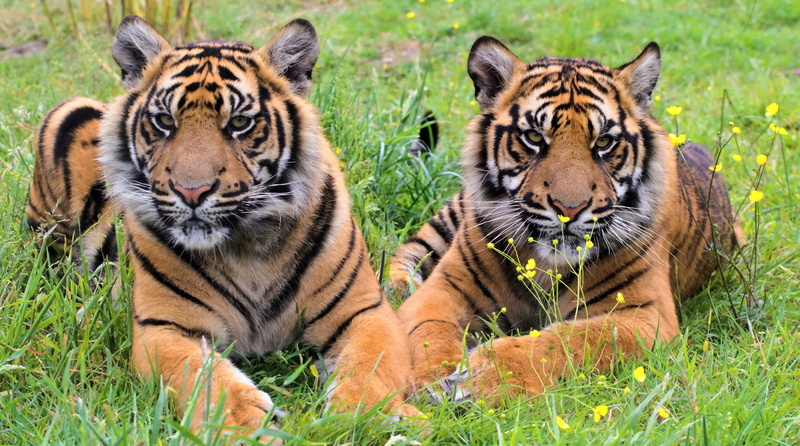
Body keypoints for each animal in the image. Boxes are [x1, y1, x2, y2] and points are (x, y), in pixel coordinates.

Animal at [26, 16, 420, 440]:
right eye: (165, 121)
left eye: (240, 123)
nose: (191, 191)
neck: (249, 243)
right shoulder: (165, 326)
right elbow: (201, 374)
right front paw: (243, 424)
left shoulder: (364, 310)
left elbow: (370, 368)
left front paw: (364, 417)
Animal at [390, 37, 740, 403]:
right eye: (533, 137)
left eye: (604, 142)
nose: (569, 209)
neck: (545, 264)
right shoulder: (443, 289)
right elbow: (428, 332)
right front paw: (433, 377)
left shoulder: (644, 313)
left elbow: (569, 342)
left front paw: (484, 376)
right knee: (411, 249)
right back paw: (399, 285)